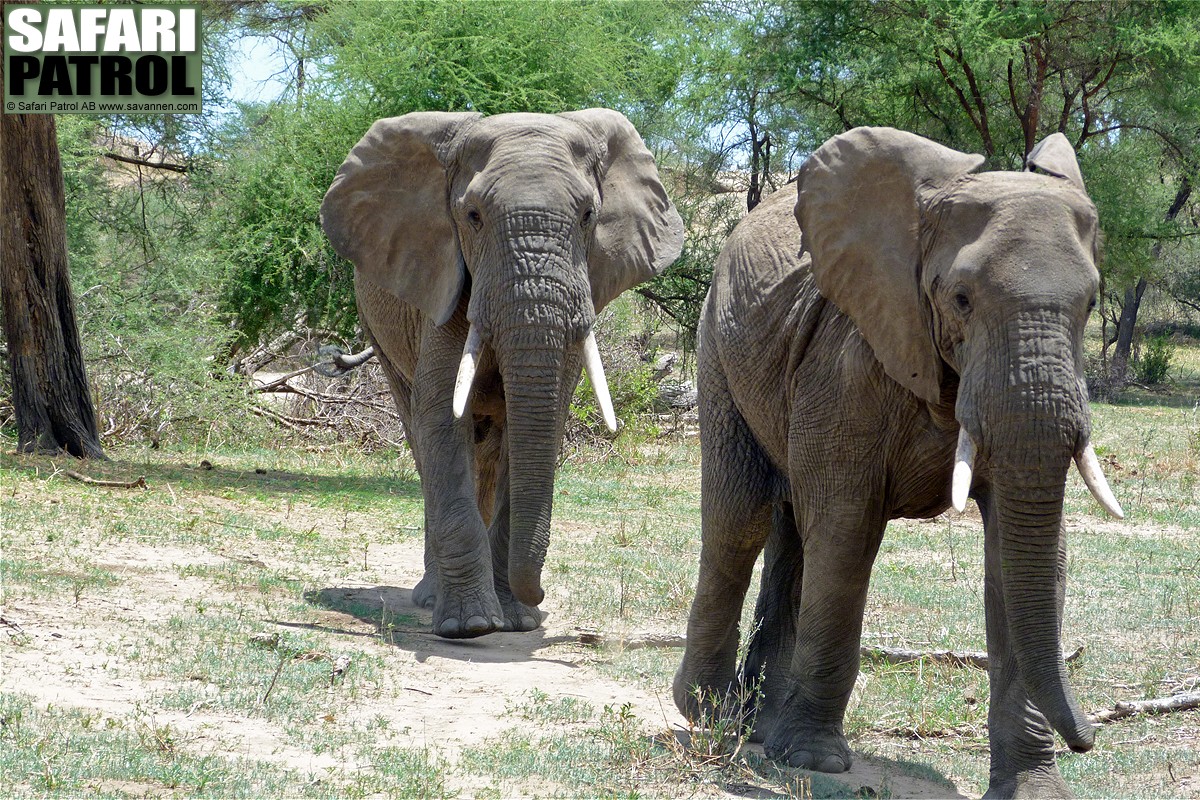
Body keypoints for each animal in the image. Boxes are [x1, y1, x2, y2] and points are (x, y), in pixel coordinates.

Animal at [319, 109, 681, 642]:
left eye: (588, 216)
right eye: (473, 216)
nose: (542, 599)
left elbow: (535, 424)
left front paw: (516, 620)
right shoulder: (443, 283)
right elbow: (440, 415)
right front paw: (470, 626)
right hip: (377, 325)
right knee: (421, 437)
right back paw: (432, 598)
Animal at [676, 128, 1123, 796]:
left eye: (1092, 302)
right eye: (961, 299)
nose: (1089, 737)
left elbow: (1020, 553)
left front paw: (1033, 788)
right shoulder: (847, 361)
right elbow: (846, 529)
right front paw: (814, 761)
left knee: (789, 530)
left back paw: (761, 728)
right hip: (717, 348)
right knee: (741, 518)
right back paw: (710, 715)